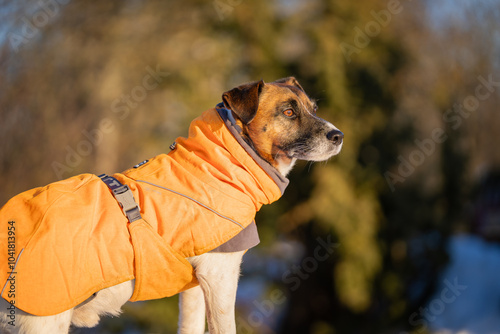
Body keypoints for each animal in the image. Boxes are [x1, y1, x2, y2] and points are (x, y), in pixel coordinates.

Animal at [0, 76, 342, 334]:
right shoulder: (219, 276)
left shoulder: (193, 286)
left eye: (313, 108)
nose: (338, 136)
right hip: (44, 318)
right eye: (288, 112)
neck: (218, 163)